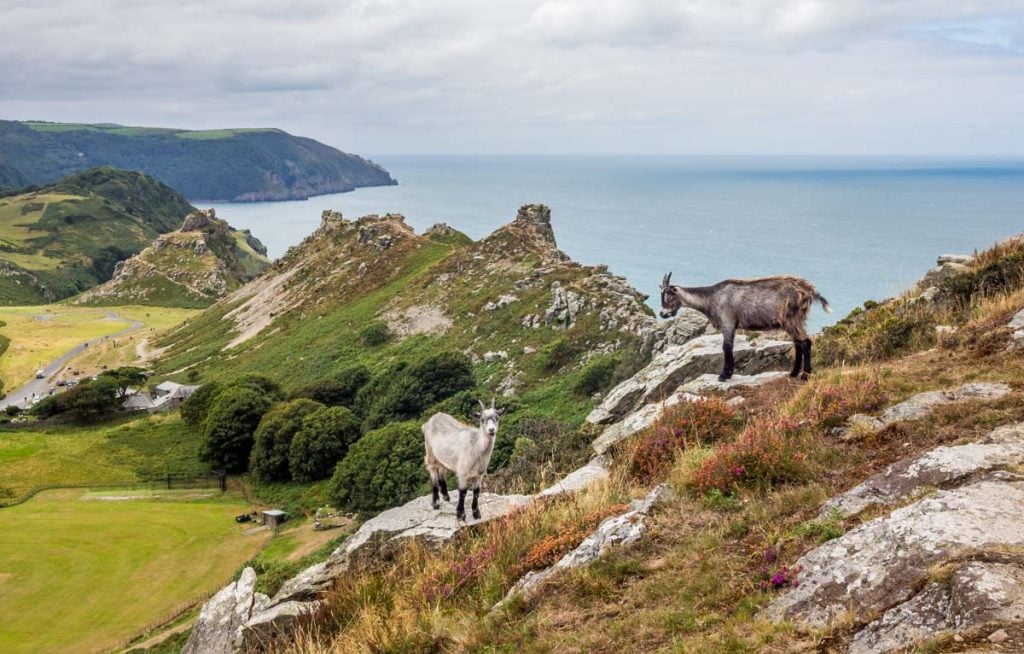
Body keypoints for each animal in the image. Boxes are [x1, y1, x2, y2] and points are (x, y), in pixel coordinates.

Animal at [655, 272, 831, 384]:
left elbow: (726, 347)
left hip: (791, 319)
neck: (712, 298)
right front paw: (728, 373)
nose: (662, 314)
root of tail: (809, 291)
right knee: (798, 343)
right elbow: (729, 347)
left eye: (670, 296)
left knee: (805, 342)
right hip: (793, 321)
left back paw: (805, 376)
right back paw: (793, 373)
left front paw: (724, 375)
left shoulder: (728, 322)